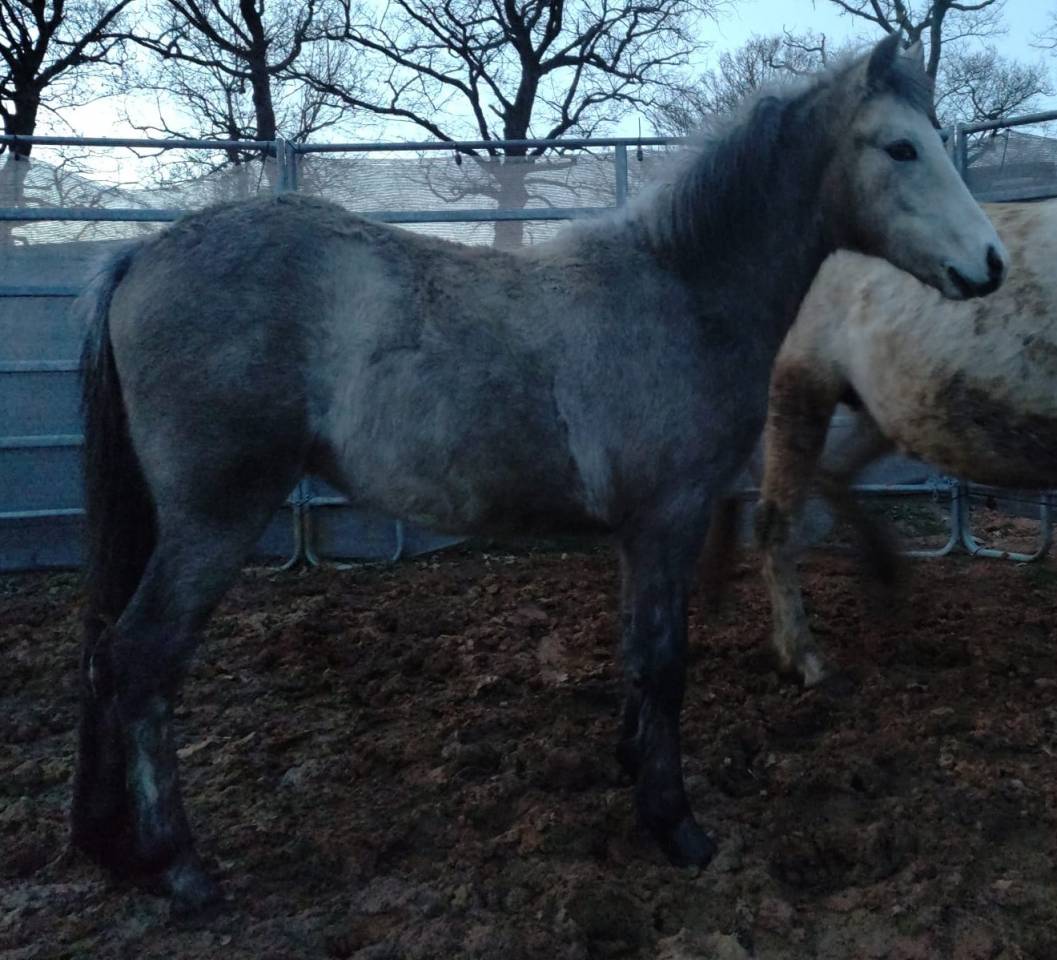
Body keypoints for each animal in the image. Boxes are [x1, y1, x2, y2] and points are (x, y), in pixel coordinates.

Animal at [71, 35, 1004, 913]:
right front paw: (675, 825)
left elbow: (636, 652)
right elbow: (664, 659)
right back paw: (180, 868)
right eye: (900, 148)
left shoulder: (639, 532)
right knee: (143, 658)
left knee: (107, 659)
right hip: (214, 519)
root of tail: (141, 256)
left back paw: (111, 845)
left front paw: (632, 767)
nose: (989, 264)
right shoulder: (668, 517)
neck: (680, 290)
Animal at [749, 199, 1055, 688]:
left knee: (835, 474)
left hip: (883, 409)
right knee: (776, 521)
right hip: (799, 384)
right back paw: (803, 657)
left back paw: (885, 569)